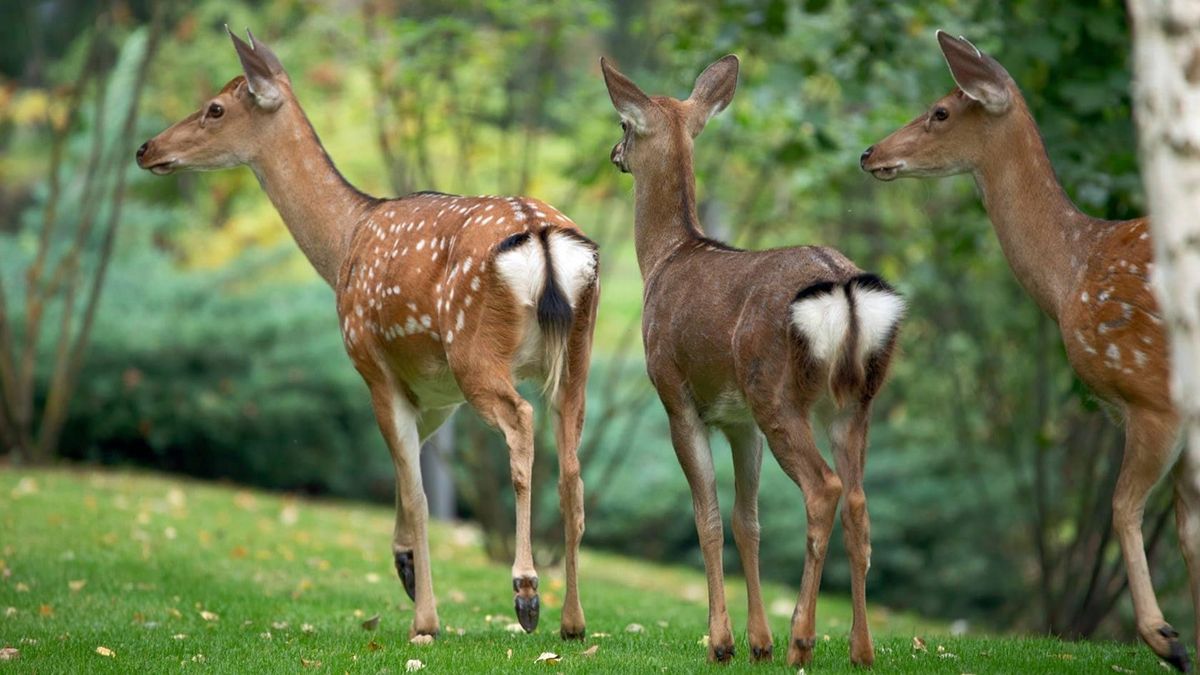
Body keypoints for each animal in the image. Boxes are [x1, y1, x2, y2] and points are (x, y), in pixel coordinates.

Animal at [137, 28, 600, 638]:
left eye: (215, 107)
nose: (146, 148)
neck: (343, 244)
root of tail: (543, 236)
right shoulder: (434, 392)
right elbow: (410, 474)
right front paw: (404, 566)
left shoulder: (371, 363)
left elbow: (419, 490)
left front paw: (425, 618)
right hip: (576, 354)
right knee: (572, 468)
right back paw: (573, 621)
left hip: (474, 349)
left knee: (521, 424)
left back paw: (526, 594)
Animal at [604, 55, 902, 662]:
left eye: (625, 124)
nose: (613, 154)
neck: (664, 259)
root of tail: (843, 287)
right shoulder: (740, 421)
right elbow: (749, 521)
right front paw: (757, 641)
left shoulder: (676, 396)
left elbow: (709, 519)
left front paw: (722, 642)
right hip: (853, 400)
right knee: (859, 501)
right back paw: (859, 649)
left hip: (775, 389)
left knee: (825, 488)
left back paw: (802, 640)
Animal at [868, 30, 1195, 667]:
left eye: (940, 111)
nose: (869, 154)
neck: (1071, 276)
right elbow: (1190, 533)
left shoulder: (1152, 395)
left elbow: (1123, 507)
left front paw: (1164, 638)